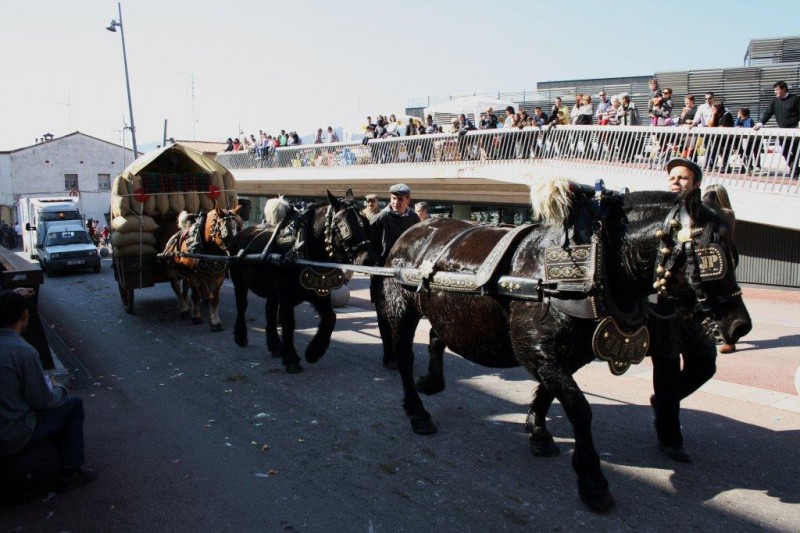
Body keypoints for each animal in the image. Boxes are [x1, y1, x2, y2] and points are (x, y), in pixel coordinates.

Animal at [227, 189, 374, 372]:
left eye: (365, 223)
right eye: (343, 225)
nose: (368, 258)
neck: (301, 247)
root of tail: (242, 233)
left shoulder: (319, 294)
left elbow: (330, 317)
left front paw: (314, 352)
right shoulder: (286, 296)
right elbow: (289, 323)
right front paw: (291, 358)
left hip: (271, 291)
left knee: (269, 311)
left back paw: (275, 345)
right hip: (239, 282)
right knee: (241, 306)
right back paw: (241, 336)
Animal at [374, 179, 752, 512]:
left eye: (735, 256)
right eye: (711, 258)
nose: (740, 325)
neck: (595, 264)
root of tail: (413, 232)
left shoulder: (568, 354)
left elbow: (551, 391)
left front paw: (538, 430)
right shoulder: (534, 347)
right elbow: (578, 407)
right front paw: (592, 480)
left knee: (437, 335)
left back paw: (432, 380)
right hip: (401, 306)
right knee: (404, 356)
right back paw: (417, 410)